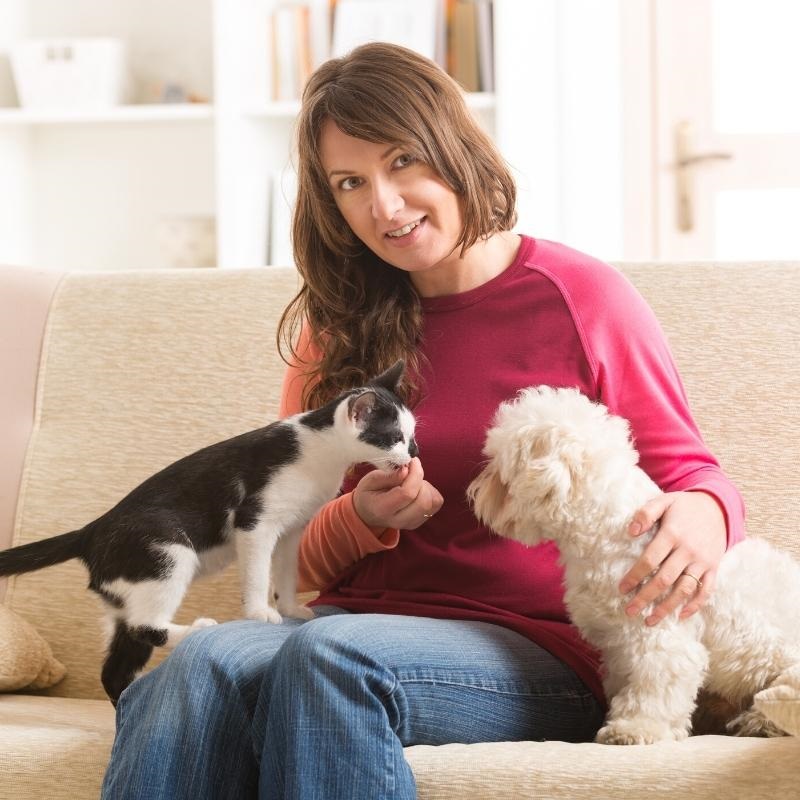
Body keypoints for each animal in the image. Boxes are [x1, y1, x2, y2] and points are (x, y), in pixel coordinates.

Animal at [0, 360, 416, 704]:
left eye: (411, 435)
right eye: (394, 436)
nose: (412, 454)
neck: (322, 451)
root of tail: (92, 530)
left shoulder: (292, 530)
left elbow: (286, 572)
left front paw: (289, 607)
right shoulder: (255, 522)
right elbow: (258, 573)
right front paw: (260, 612)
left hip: (126, 594)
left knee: (116, 665)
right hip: (167, 552)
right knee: (145, 626)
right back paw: (198, 629)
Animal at [468, 386, 800, 744]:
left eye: (498, 473)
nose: (473, 492)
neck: (610, 532)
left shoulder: (660, 637)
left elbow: (654, 690)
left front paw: (634, 728)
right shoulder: (618, 646)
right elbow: (624, 685)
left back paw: (759, 723)